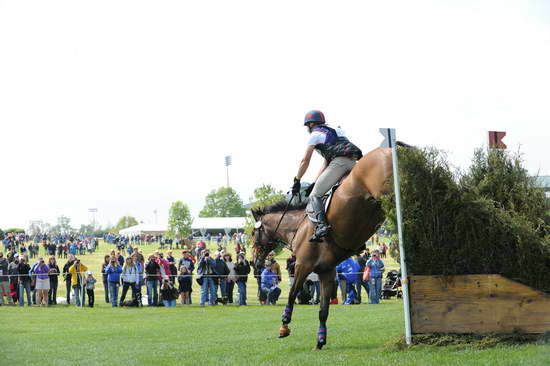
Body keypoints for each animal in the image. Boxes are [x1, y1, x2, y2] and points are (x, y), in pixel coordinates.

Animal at [252, 145, 398, 348]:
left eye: (253, 234)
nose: (255, 262)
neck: (298, 227)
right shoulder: (326, 272)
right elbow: (323, 309)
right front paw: (320, 339)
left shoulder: (303, 265)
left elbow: (292, 295)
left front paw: (284, 327)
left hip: (387, 194)